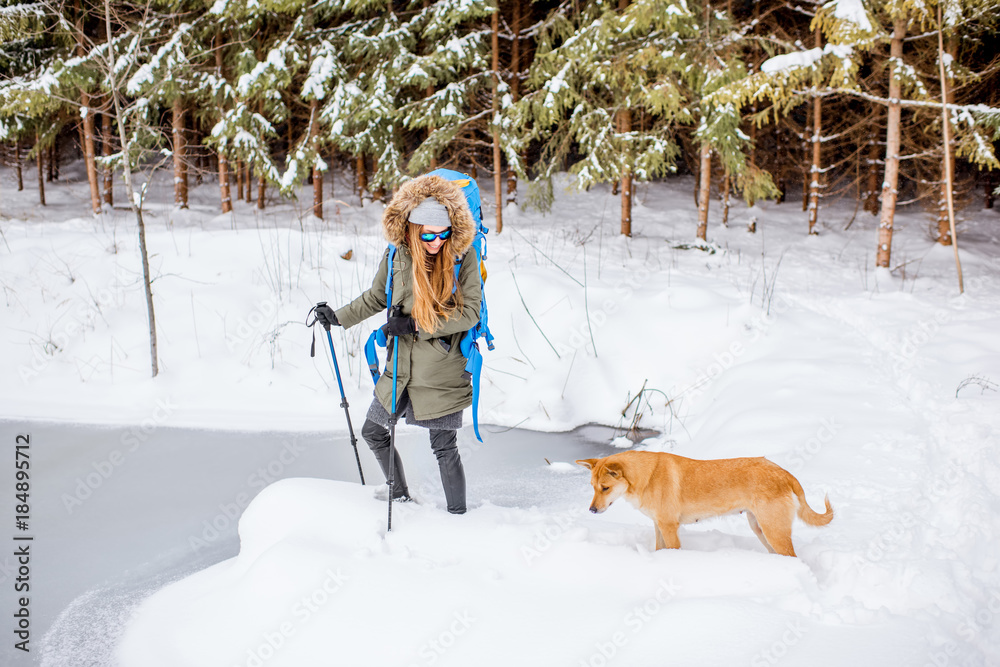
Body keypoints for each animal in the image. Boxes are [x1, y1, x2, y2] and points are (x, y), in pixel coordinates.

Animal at [576, 452, 832, 556]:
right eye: (592, 486)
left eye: (605, 488)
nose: (591, 509)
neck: (646, 476)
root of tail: (783, 472)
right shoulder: (659, 525)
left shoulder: (670, 528)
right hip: (760, 528)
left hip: (773, 530)